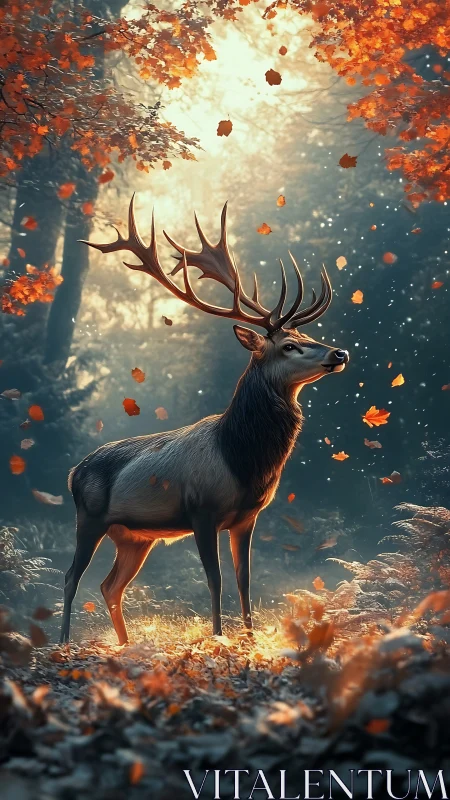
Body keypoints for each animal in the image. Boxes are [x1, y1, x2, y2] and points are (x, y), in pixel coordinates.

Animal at [60, 196, 349, 645]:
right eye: (288, 345)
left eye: (308, 337)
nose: (339, 353)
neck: (241, 459)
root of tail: (73, 472)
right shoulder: (201, 509)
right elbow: (215, 580)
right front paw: (218, 638)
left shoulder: (247, 517)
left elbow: (244, 579)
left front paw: (249, 638)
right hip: (89, 517)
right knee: (72, 576)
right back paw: (62, 642)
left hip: (133, 535)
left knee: (111, 585)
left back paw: (125, 645)